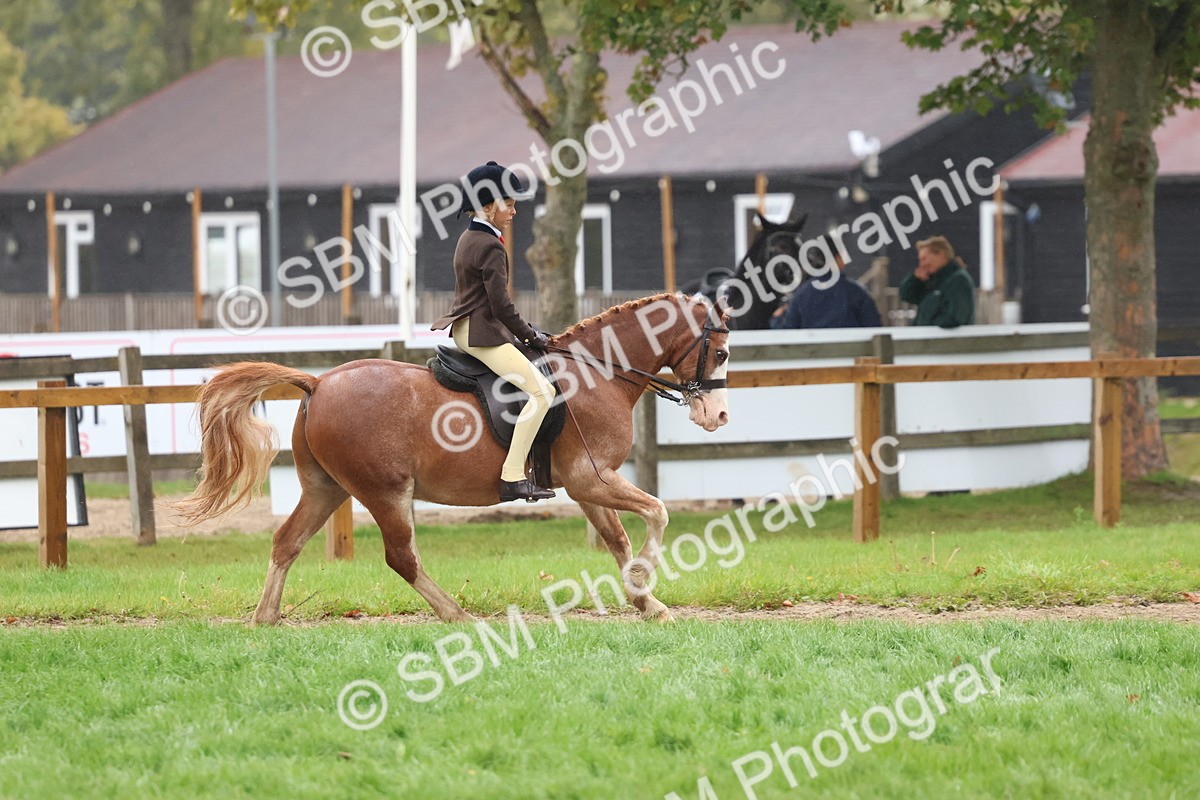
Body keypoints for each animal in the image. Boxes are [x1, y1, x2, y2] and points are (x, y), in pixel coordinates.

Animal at [174, 292, 731, 625]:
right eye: (722, 353)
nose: (720, 415)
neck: (597, 372)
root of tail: (318, 381)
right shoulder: (591, 479)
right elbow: (657, 512)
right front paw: (645, 581)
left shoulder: (588, 485)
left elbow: (616, 538)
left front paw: (647, 603)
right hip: (385, 491)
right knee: (401, 557)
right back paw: (457, 615)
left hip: (325, 489)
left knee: (286, 542)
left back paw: (265, 618)